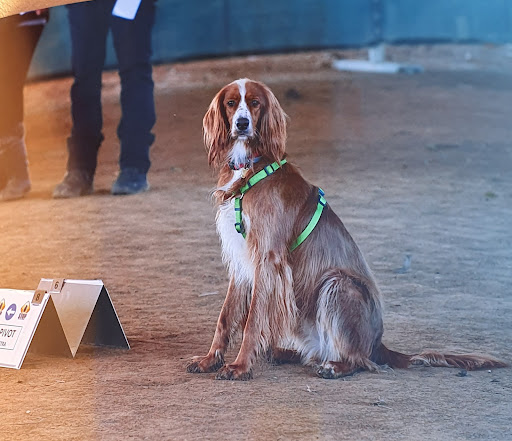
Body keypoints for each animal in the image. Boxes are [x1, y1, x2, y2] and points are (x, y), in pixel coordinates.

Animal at [187, 78, 504, 378]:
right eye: (231, 103)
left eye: (254, 102)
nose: (242, 124)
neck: (250, 168)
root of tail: (378, 345)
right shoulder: (242, 260)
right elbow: (225, 316)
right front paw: (210, 360)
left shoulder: (269, 258)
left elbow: (253, 320)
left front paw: (240, 367)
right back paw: (285, 353)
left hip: (338, 284)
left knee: (360, 361)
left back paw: (334, 367)